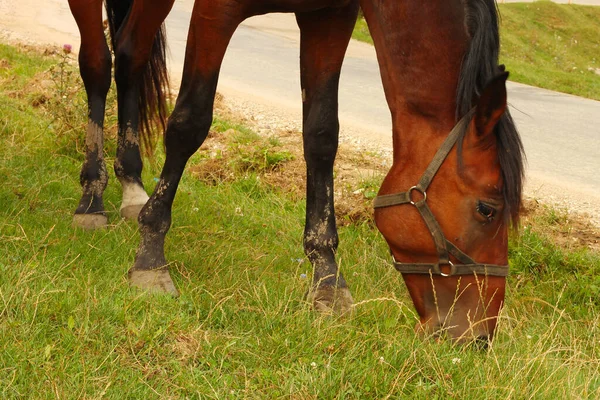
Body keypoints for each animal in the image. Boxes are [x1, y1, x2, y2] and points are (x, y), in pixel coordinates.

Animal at [68, 0, 524, 344]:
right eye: (487, 210)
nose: (479, 336)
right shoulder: (216, 11)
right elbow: (190, 122)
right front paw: (150, 257)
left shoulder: (329, 16)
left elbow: (321, 135)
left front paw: (326, 277)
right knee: (98, 63)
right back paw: (92, 197)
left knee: (130, 56)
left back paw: (131, 184)